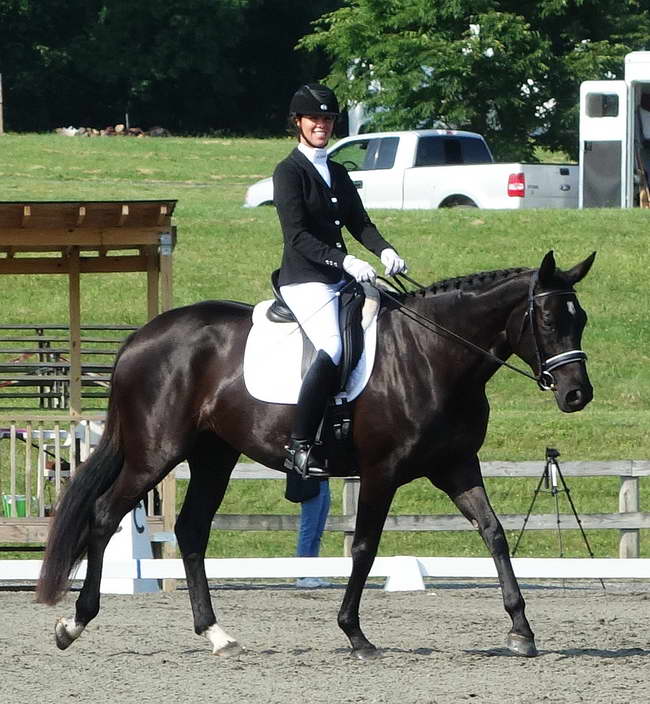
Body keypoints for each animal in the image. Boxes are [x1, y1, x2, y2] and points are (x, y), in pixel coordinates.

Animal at [34, 250, 592, 656]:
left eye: (581, 318)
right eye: (546, 319)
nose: (577, 395)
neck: (433, 354)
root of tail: (139, 337)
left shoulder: (456, 466)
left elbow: (494, 533)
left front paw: (522, 631)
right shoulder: (381, 471)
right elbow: (365, 547)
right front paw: (355, 633)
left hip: (214, 455)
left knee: (191, 529)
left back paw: (216, 634)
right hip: (156, 453)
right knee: (105, 515)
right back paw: (73, 624)